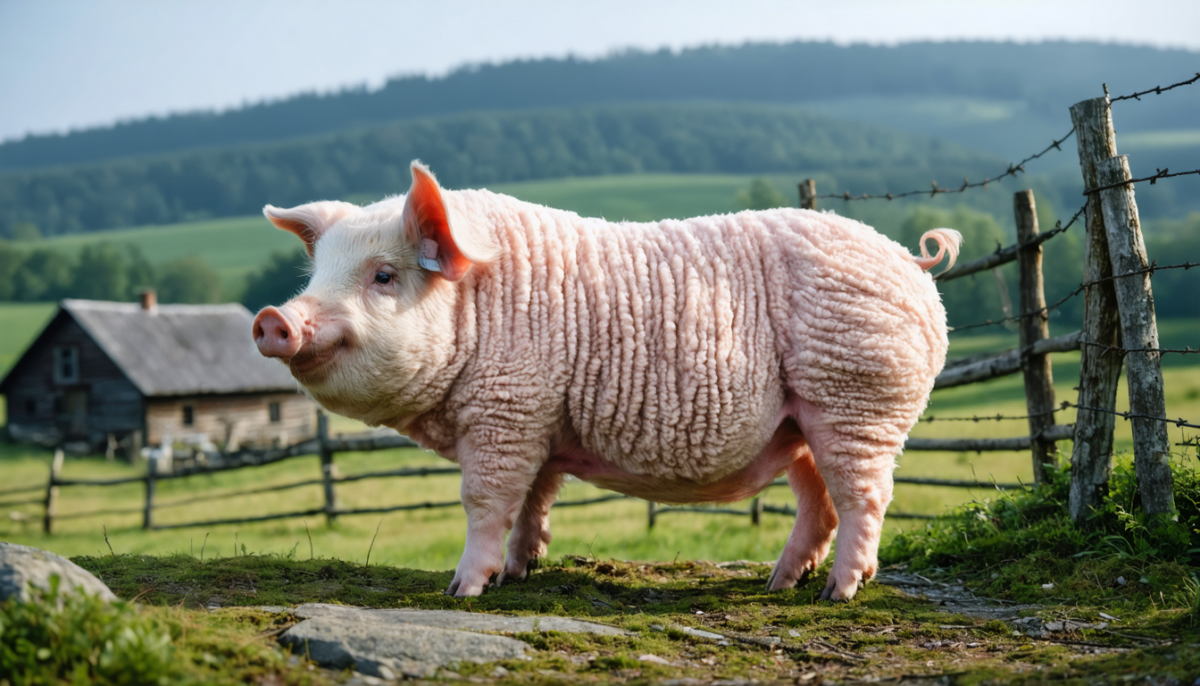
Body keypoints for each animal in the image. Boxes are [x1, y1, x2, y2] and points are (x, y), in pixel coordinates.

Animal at [253, 161, 961, 600]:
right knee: (820, 500)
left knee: (865, 498)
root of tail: (910, 258)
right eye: (317, 275)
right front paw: (521, 571)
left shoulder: (505, 411)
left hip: (856, 399)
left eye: (383, 276)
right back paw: (778, 583)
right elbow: (534, 499)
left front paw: (463, 588)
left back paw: (838, 592)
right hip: (801, 420)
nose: (273, 318)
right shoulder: (535, 419)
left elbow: (486, 502)